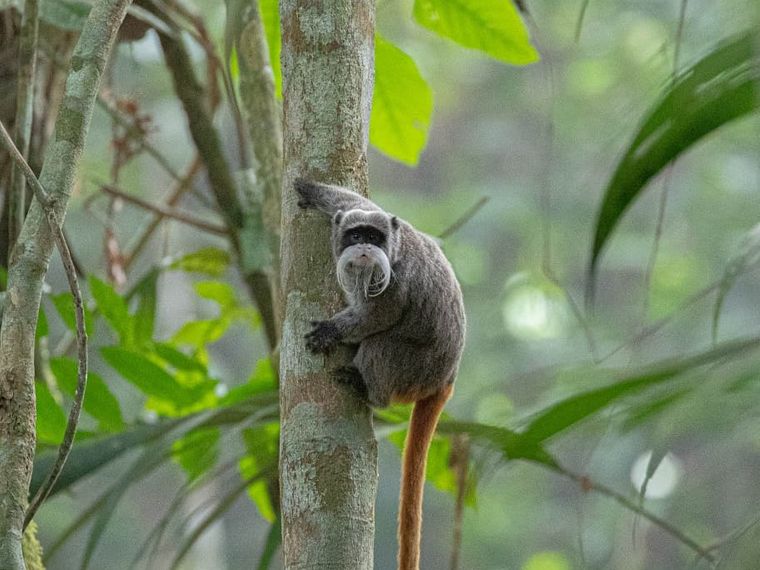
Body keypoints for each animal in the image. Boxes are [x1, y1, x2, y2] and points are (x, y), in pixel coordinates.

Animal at [294, 179, 466, 570]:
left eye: (373, 237)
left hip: (415, 368)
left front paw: (332, 331)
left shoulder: (395, 283)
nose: (363, 247)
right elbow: (351, 201)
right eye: (356, 234)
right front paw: (312, 190)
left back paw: (367, 389)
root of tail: (447, 378)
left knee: (381, 344)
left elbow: (378, 318)